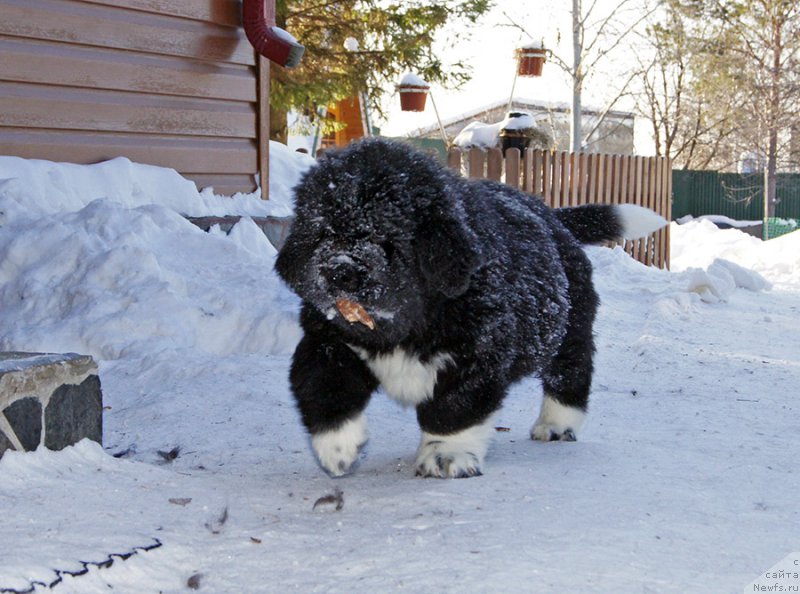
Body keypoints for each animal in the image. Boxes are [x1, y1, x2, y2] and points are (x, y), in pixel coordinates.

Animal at [278, 138, 664, 476]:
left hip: (568, 327)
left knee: (571, 371)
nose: (340, 270)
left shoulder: (476, 352)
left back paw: (555, 424)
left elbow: (454, 408)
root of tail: (553, 217)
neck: (402, 326)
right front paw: (338, 449)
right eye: (323, 234)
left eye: (384, 237)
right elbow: (324, 385)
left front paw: (445, 456)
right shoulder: (327, 340)